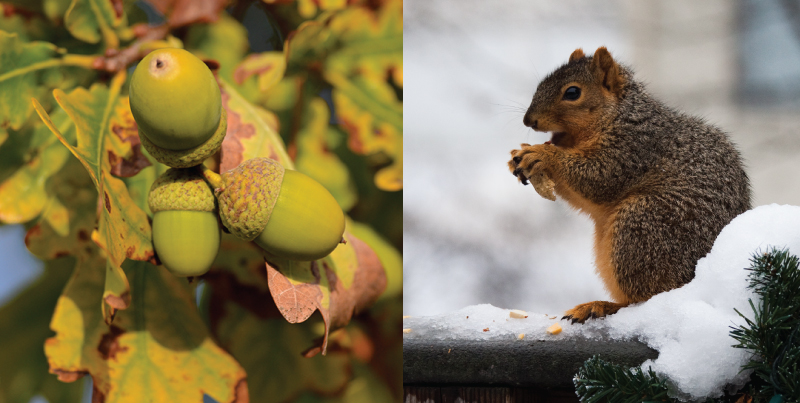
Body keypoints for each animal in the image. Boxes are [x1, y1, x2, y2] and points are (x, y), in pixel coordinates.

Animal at [510, 47, 752, 326]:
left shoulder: (632, 149)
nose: (529, 120)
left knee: (646, 298)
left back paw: (600, 307)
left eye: (572, 92)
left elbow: (599, 178)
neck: (619, 115)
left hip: (642, 226)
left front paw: (542, 155)